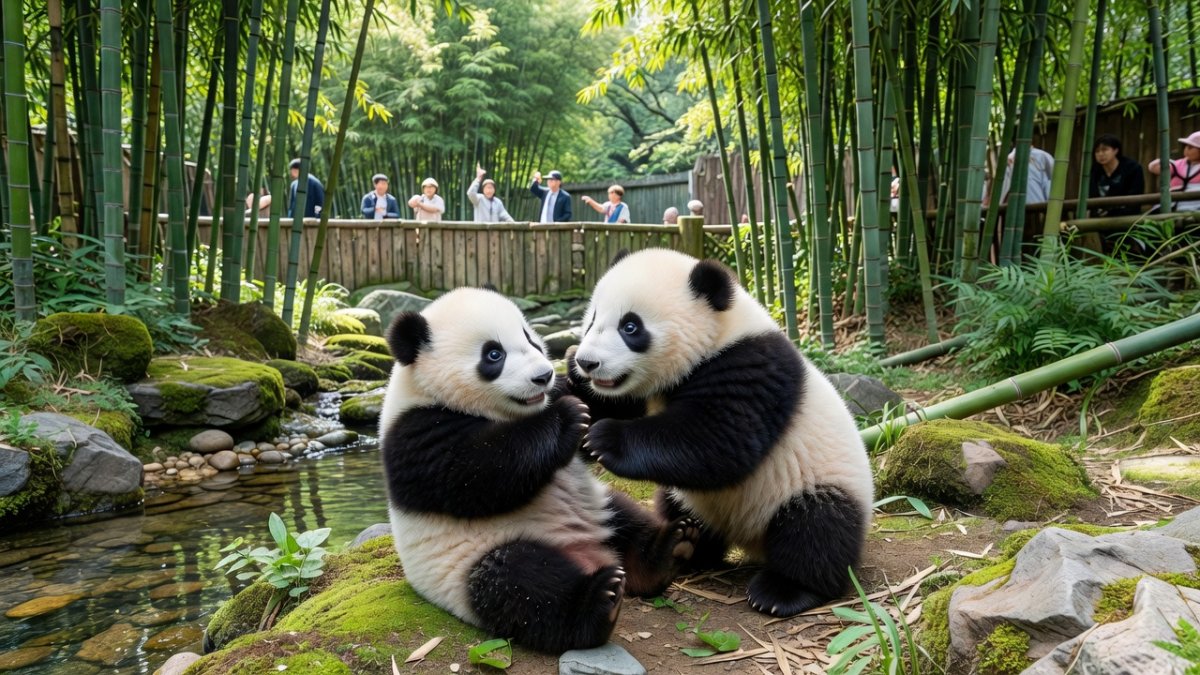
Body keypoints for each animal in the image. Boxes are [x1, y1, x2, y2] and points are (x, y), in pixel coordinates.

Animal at [379, 287, 696, 653]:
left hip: (600, 506)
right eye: (493, 354)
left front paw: (577, 370)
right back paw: (598, 601)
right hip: (471, 562)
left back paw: (670, 547)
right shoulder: (415, 430)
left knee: (627, 519)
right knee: (519, 584)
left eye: (530, 338)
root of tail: (590, 553)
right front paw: (567, 417)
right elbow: (473, 474)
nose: (543, 376)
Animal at [566, 248, 875, 617]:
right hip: (693, 501)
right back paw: (686, 548)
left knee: (816, 530)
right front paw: (574, 400)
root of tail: (748, 537)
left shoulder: (751, 366)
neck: (718, 336)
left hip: (817, 481)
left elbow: (721, 439)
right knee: (678, 505)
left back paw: (782, 591)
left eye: (630, 326)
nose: (588, 362)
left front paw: (606, 439)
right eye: (592, 319)